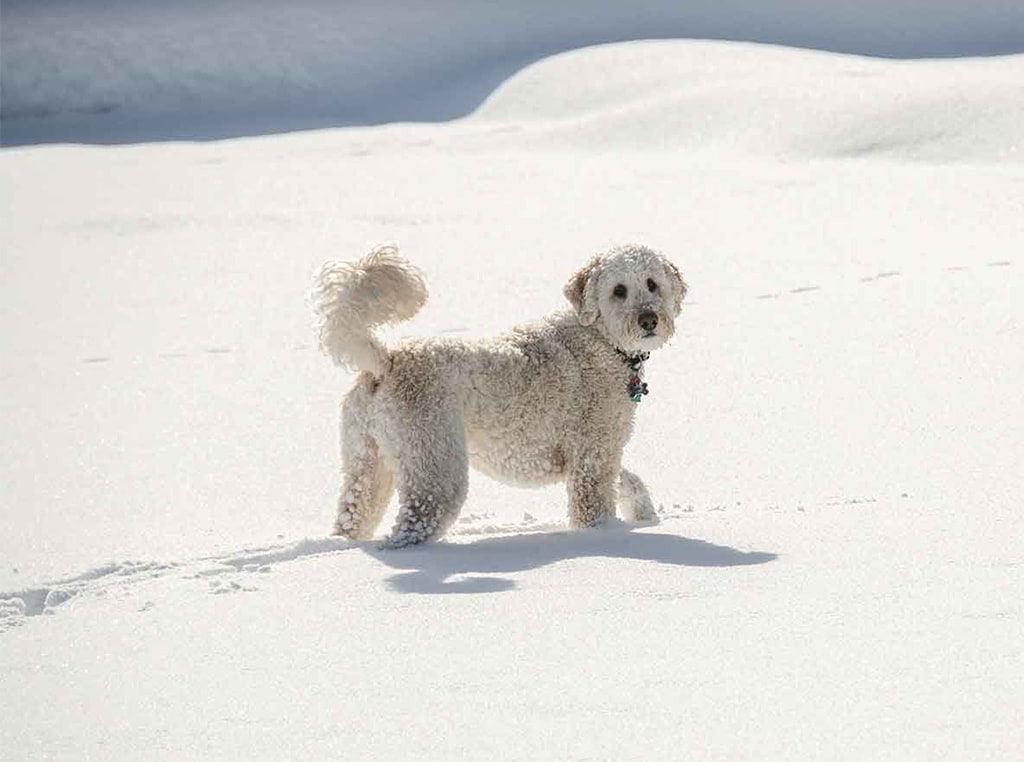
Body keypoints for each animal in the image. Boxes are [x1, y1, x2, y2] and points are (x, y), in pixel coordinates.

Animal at [311, 243, 688, 548]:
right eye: (618, 290)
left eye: (652, 284)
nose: (649, 319)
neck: (601, 340)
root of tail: (386, 361)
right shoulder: (591, 458)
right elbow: (595, 509)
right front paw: (608, 536)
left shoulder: (602, 452)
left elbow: (629, 480)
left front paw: (645, 514)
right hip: (433, 465)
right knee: (410, 529)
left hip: (368, 462)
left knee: (353, 516)